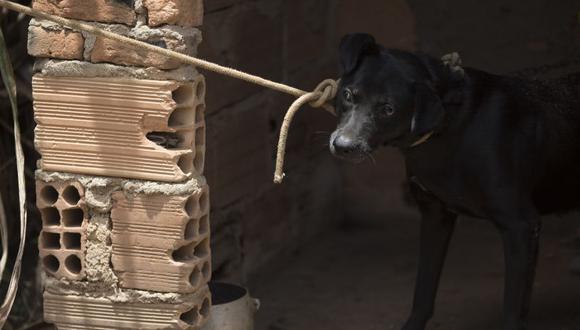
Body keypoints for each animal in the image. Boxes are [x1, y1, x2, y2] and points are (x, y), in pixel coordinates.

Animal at [330, 34, 580, 330]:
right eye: (348, 95)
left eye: (388, 109)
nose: (344, 146)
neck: (450, 125)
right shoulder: (435, 216)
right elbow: (424, 288)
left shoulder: (521, 225)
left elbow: (513, 307)